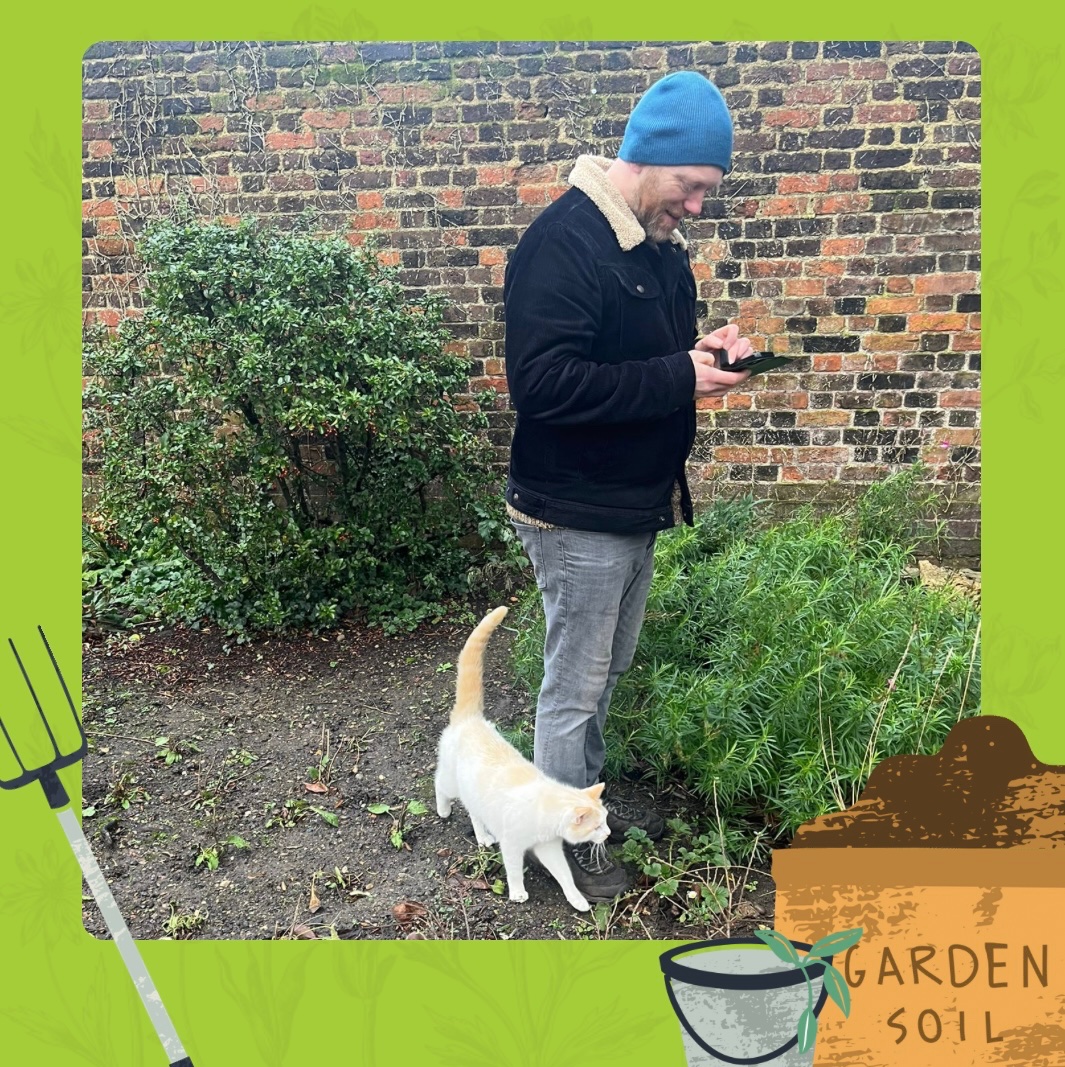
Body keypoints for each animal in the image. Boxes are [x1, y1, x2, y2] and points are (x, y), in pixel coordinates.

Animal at [435, 606, 610, 913]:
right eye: (597, 826)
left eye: (607, 820)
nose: (610, 834)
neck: (544, 812)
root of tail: (471, 718)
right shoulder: (513, 844)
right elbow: (514, 870)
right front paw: (517, 893)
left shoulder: (549, 848)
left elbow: (564, 874)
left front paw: (577, 899)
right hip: (450, 780)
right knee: (439, 786)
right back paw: (443, 810)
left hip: (475, 794)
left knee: (475, 813)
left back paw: (483, 837)